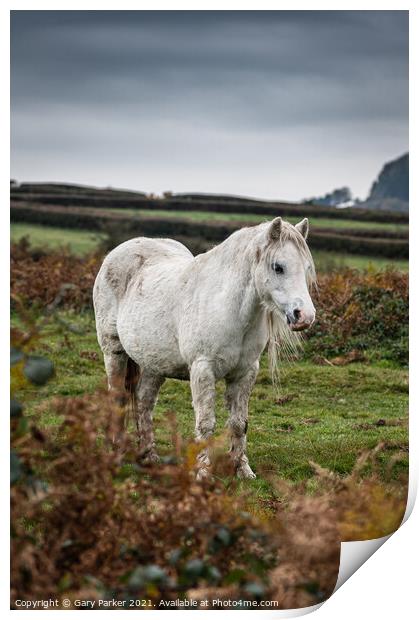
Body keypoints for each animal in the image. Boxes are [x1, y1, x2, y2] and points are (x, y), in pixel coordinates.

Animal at [93, 218, 316, 480]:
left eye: (306, 267)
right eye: (278, 267)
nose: (304, 316)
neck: (228, 306)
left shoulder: (245, 372)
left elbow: (239, 422)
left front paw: (242, 469)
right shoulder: (203, 369)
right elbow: (206, 423)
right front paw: (202, 472)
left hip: (154, 364)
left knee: (144, 402)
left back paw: (149, 457)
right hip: (114, 352)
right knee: (117, 399)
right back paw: (116, 454)